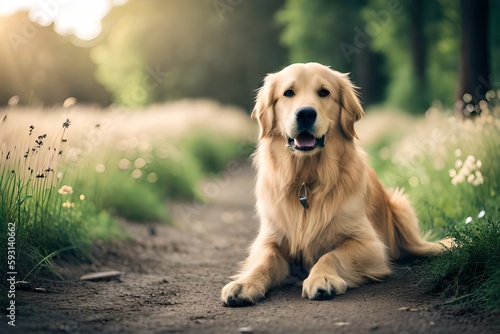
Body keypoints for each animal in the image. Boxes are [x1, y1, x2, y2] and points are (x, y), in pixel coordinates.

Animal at [221, 62, 448, 308]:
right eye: (288, 93)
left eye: (324, 92)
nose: (306, 113)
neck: (306, 181)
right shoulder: (270, 238)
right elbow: (264, 260)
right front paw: (244, 284)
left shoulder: (369, 243)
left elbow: (331, 255)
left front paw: (322, 279)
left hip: (401, 206)